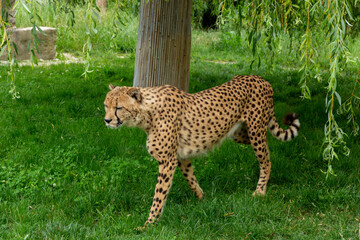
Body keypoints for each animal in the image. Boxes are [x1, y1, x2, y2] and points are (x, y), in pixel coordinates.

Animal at [104, 75, 300, 227]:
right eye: (106, 105)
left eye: (119, 107)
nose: (107, 120)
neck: (147, 114)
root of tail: (261, 79)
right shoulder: (180, 156)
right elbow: (191, 178)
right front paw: (202, 198)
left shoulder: (167, 160)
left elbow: (159, 194)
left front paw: (149, 224)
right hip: (240, 133)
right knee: (266, 145)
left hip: (255, 130)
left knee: (265, 160)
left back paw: (260, 191)